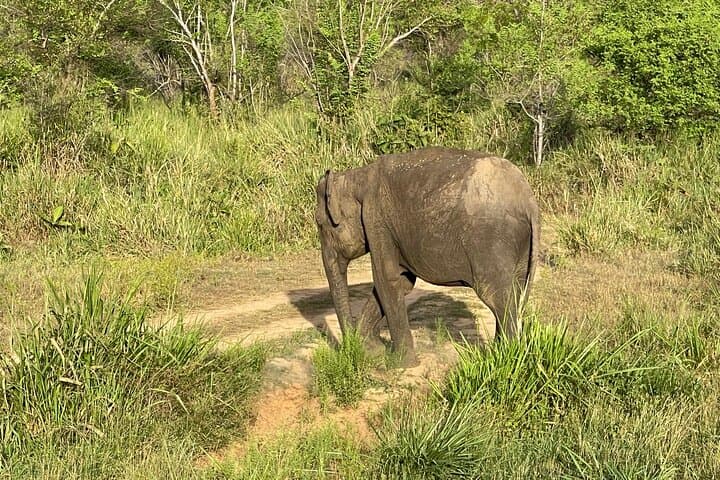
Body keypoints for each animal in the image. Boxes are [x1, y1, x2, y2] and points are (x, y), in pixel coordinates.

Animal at [315, 146, 540, 367]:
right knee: (515, 291)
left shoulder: (376, 220)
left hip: (491, 242)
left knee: (498, 298)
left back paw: (506, 359)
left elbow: (387, 281)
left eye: (319, 223)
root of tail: (528, 201)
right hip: (520, 247)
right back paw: (498, 354)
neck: (356, 176)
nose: (350, 349)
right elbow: (402, 282)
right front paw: (373, 350)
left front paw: (399, 364)